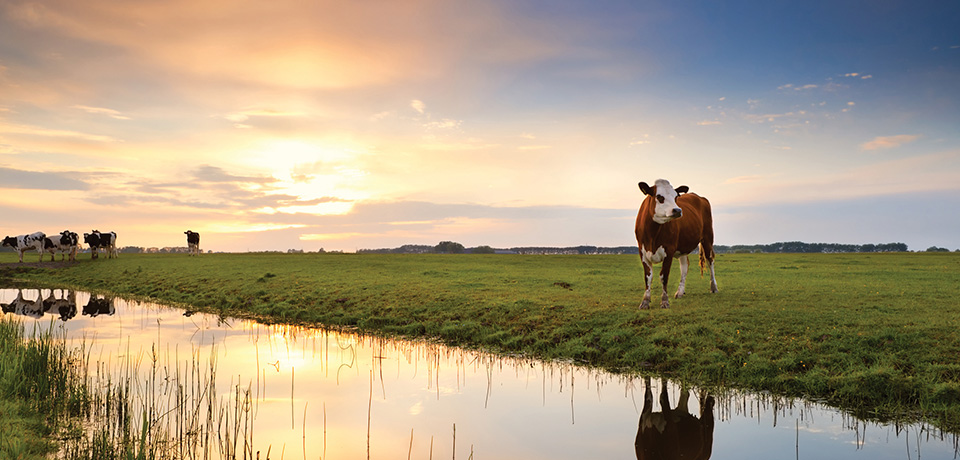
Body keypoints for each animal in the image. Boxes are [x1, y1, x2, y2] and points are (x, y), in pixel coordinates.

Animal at [635, 179, 718, 309]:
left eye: (676, 197)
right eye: (659, 197)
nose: (678, 210)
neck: (652, 233)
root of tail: (699, 196)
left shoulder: (669, 250)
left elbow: (664, 276)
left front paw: (664, 301)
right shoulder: (642, 252)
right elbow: (648, 277)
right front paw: (645, 301)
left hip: (708, 238)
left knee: (710, 261)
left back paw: (713, 287)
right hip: (683, 247)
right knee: (684, 267)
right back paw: (680, 292)